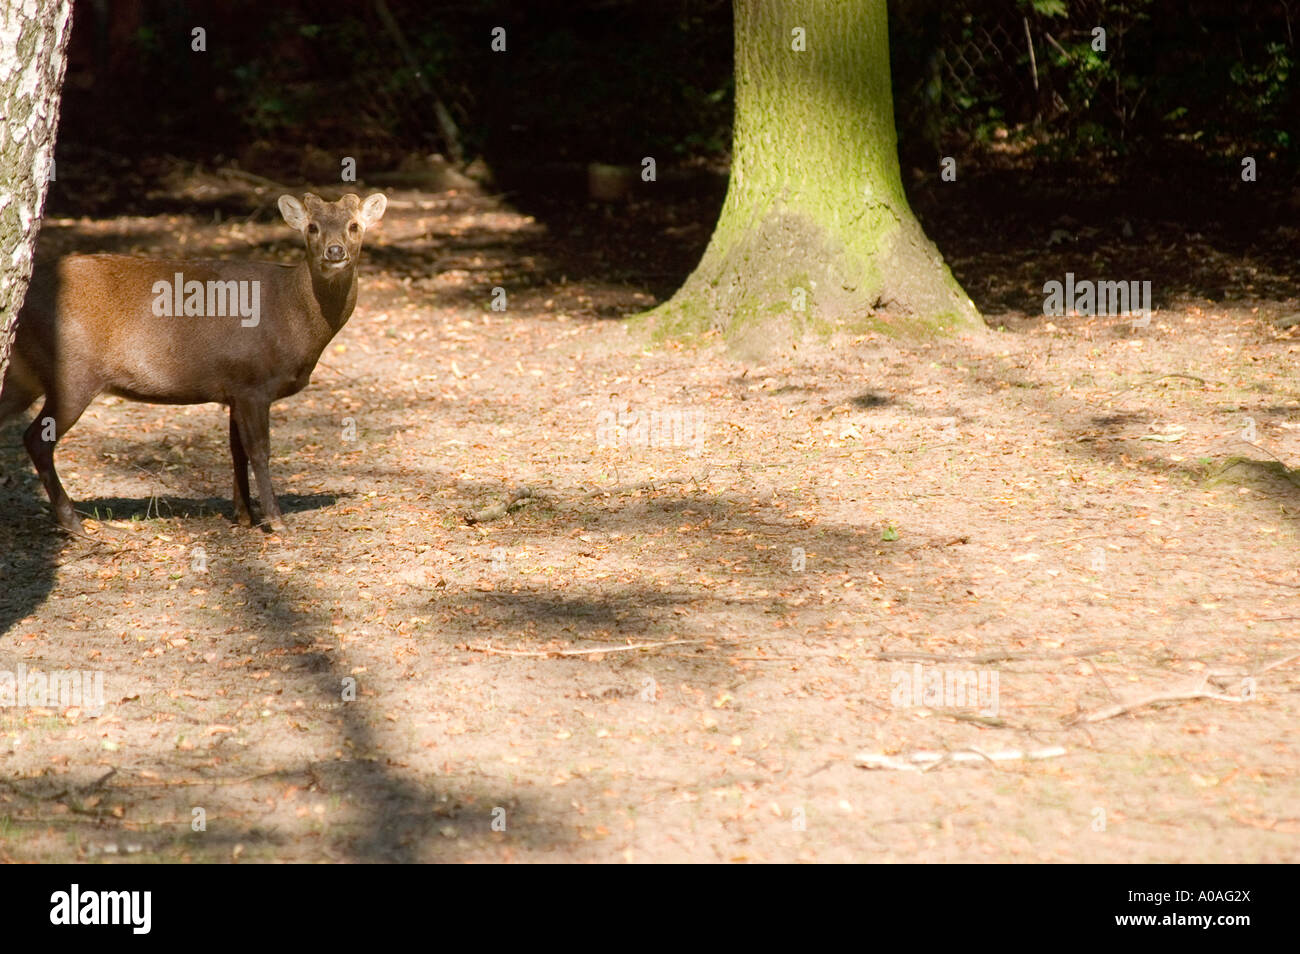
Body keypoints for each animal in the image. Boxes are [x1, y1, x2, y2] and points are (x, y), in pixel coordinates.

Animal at [0, 192, 384, 538]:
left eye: (353, 225)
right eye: (312, 227)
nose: (335, 251)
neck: (293, 319)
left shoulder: (234, 389)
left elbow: (236, 451)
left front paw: (243, 515)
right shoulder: (253, 382)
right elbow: (260, 451)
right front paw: (275, 521)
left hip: (26, 376)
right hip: (73, 373)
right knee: (37, 440)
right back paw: (76, 523)